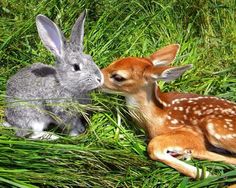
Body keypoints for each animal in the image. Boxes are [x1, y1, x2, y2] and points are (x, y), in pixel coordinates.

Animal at [4, 10, 103, 140]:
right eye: (76, 67)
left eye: (90, 58)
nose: (100, 79)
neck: (64, 85)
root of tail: (11, 122)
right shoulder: (61, 113)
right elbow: (69, 126)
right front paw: (75, 135)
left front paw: (81, 128)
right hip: (34, 119)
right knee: (30, 134)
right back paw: (52, 136)